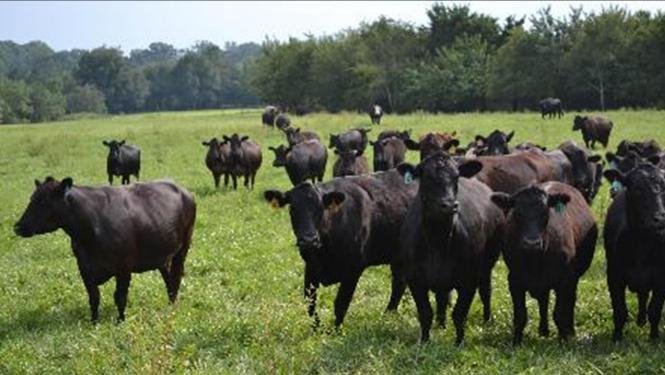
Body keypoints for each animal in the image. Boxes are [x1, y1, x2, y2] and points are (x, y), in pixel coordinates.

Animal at [14, 178, 196, 324]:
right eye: (32, 199)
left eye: (44, 202)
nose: (18, 226)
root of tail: (183, 189)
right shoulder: (84, 267)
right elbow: (94, 297)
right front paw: (94, 321)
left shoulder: (124, 267)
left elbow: (120, 297)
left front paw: (120, 321)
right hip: (161, 253)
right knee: (168, 277)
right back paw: (170, 302)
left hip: (183, 247)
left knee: (176, 275)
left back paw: (173, 306)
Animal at [264, 169, 416, 328]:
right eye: (292, 209)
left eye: (321, 209)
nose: (309, 240)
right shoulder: (311, 266)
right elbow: (310, 303)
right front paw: (316, 328)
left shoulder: (353, 270)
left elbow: (341, 304)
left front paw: (335, 330)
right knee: (399, 282)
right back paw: (387, 315)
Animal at [394, 152, 504, 344]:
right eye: (427, 177)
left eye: (456, 177)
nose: (450, 204)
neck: (438, 240)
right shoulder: (415, 279)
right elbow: (425, 313)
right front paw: (425, 340)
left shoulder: (469, 279)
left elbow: (459, 314)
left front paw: (459, 342)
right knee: (442, 297)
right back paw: (440, 324)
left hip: (488, 263)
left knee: (486, 291)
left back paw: (487, 320)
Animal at [488, 183, 596, 346]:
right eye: (517, 213)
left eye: (545, 213)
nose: (531, 243)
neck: (535, 260)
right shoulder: (514, 280)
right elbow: (520, 315)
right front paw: (516, 342)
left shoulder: (565, 280)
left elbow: (559, 313)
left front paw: (563, 341)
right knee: (543, 301)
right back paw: (543, 330)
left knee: (570, 302)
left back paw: (569, 331)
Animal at [604, 162, 665, 340]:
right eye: (637, 189)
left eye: (664, 188)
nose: (660, 218)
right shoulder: (614, 275)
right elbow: (619, 311)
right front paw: (617, 338)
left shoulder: (661, 277)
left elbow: (655, 310)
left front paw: (654, 338)